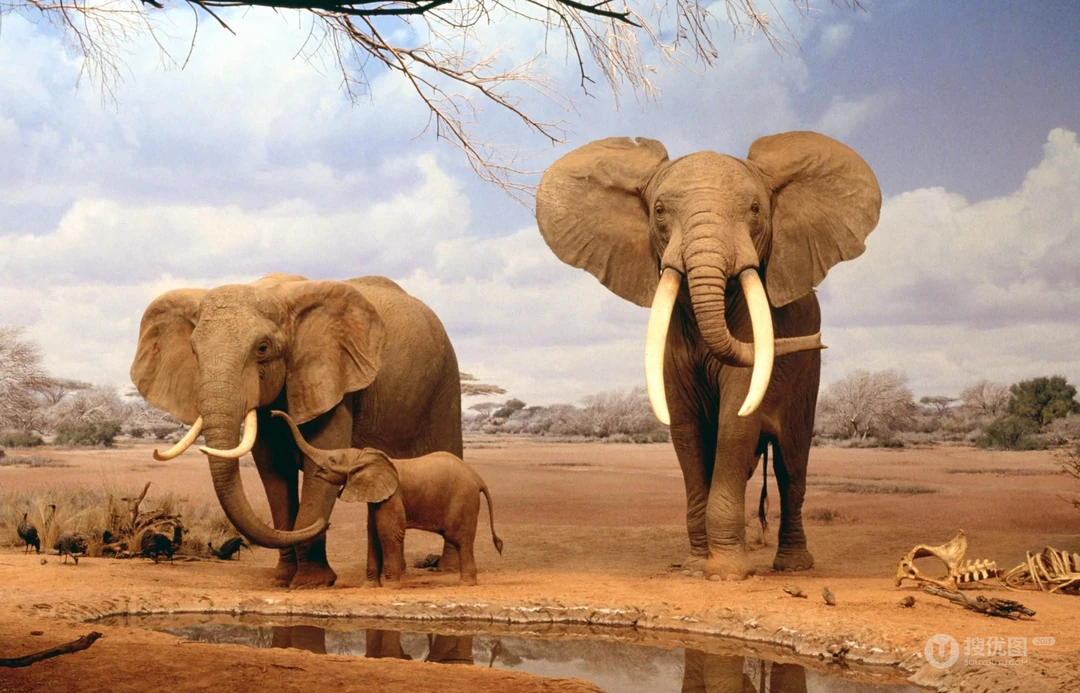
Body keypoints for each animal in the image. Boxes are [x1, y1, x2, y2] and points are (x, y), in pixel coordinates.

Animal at [130, 273, 463, 588]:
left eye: (263, 348)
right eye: (194, 352)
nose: (325, 524)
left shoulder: (332, 380)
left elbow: (319, 464)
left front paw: (310, 583)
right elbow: (274, 472)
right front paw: (282, 580)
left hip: (446, 380)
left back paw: (447, 569)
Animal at [273, 410, 503, 586]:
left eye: (332, 460)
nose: (273, 413)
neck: (365, 457)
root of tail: (478, 478)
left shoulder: (393, 496)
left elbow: (388, 532)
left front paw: (391, 586)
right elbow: (373, 533)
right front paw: (370, 586)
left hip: (463, 500)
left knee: (461, 539)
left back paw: (466, 583)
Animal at [536, 132, 881, 580]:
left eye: (755, 209)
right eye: (659, 211)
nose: (818, 340)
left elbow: (736, 421)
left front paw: (726, 573)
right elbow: (686, 429)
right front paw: (695, 566)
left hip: (808, 377)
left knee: (791, 466)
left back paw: (792, 567)